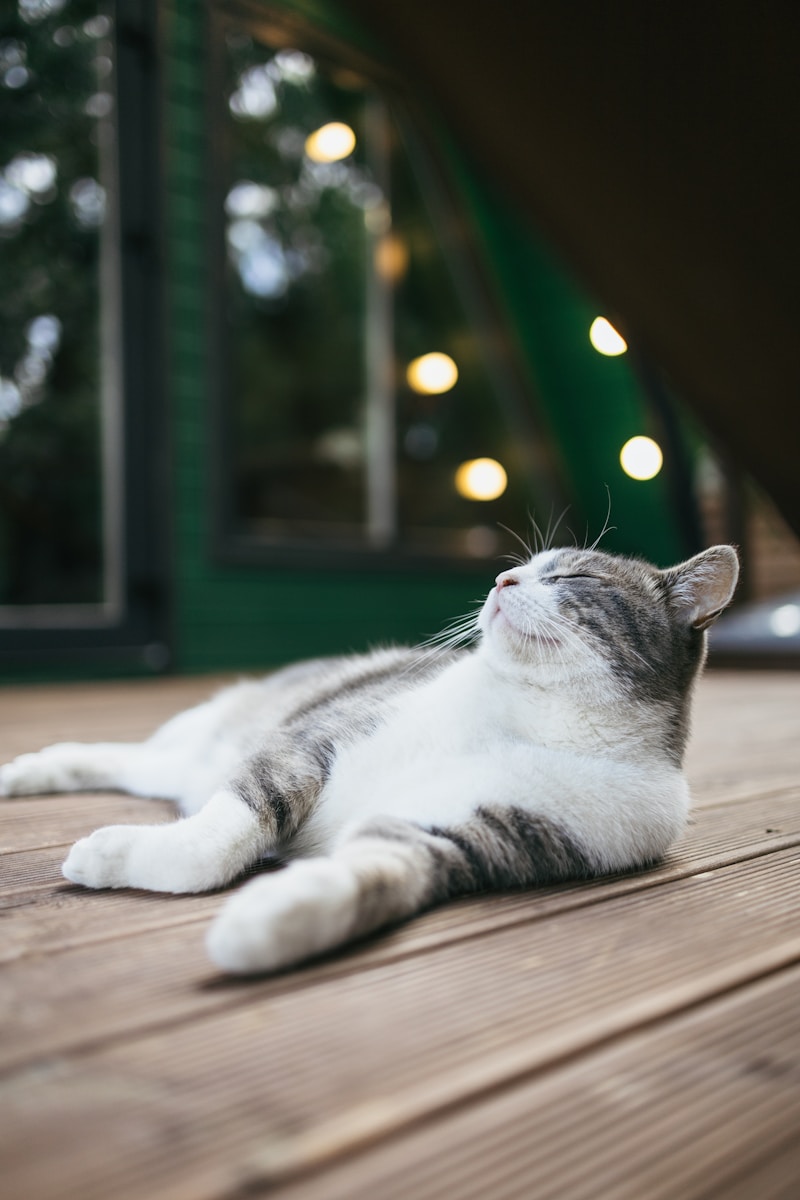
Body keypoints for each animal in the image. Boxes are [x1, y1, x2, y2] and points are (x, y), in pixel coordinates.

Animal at [0, 544, 738, 974]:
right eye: (522, 565)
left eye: (573, 575)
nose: (501, 579)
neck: (530, 721)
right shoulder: (306, 743)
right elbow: (217, 841)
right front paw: (112, 855)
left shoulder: (447, 836)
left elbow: (373, 879)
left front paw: (267, 927)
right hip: (214, 733)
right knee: (121, 754)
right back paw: (27, 771)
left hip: (188, 768)